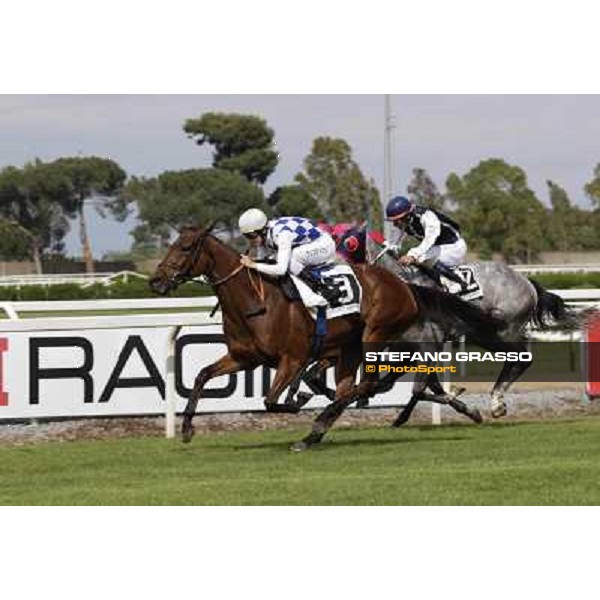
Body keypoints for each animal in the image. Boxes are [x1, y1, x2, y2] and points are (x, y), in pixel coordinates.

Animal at [149, 225, 506, 450]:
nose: (155, 281)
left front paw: (299, 401)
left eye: (184, 247)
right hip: (351, 347)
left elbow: (271, 400)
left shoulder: (292, 358)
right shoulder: (243, 357)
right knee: (357, 387)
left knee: (369, 384)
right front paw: (186, 429)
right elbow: (202, 376)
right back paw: (318, 428)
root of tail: (406, 285)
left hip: (375, 334)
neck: (255, 301)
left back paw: (320, 423)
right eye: (171, 245)